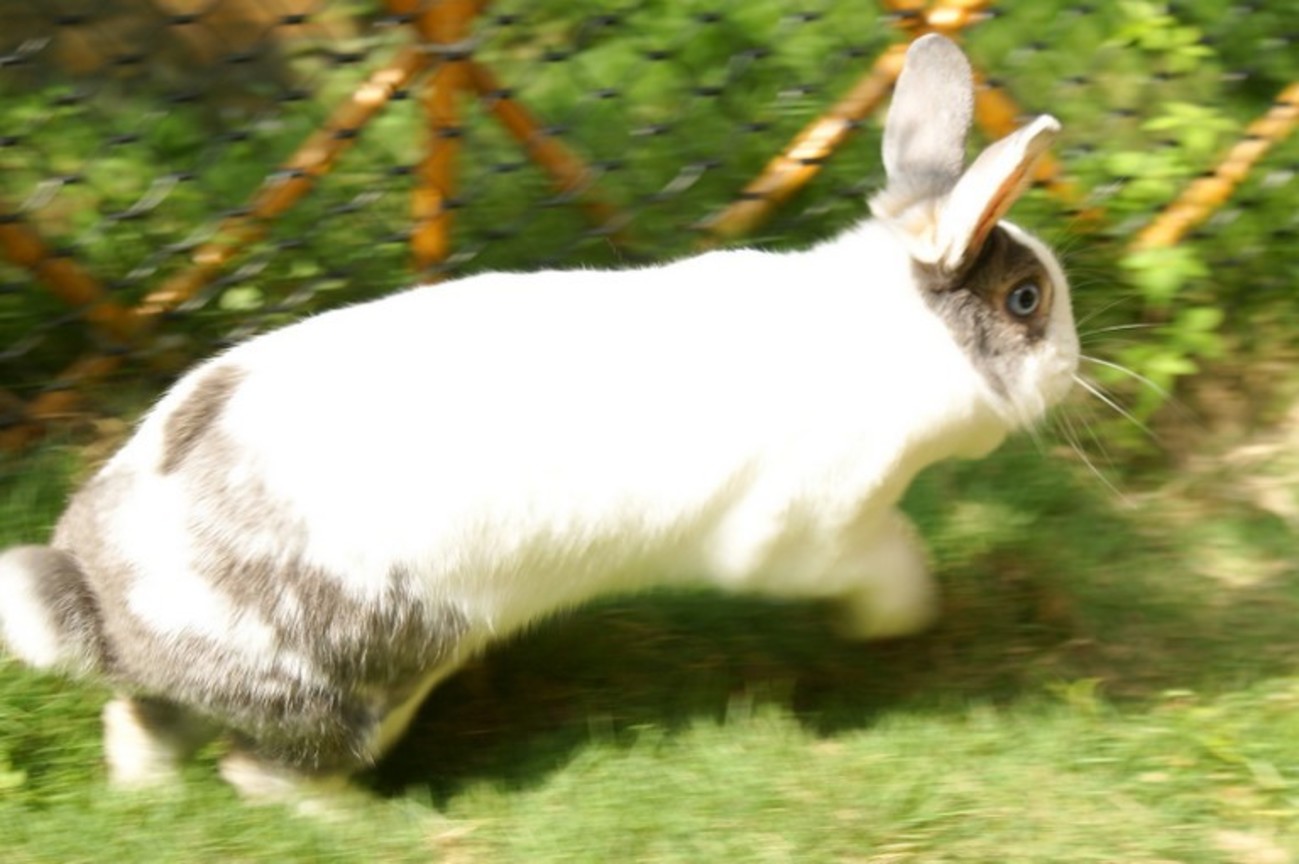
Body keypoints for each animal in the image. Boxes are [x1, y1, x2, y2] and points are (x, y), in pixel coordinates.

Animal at [0, 34, 1076, 804]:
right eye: (1026, 301)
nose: (1070, 365)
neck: (895, 336)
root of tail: (101, 593)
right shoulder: (811, 534)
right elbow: (890, 561)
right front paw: (906, 619)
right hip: (364, 680)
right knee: (261, 773)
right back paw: (372, 825)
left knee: (143, 726)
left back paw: (147, 804)